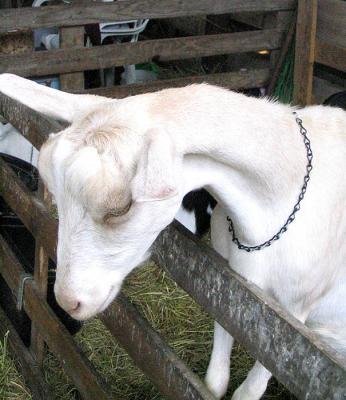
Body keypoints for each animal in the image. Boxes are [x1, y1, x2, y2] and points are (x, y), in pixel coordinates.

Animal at [0, 72, 346, 400]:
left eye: (121, 207)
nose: (68, 301)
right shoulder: (234, 298)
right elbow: (214, 382)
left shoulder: (294, 321)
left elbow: (248, 391)